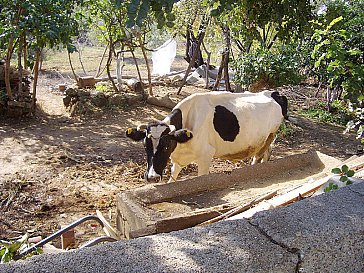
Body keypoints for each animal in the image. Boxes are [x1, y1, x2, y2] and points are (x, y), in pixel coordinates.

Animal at [126, 90, 288, 182]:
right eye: (145, 145)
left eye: (166, 146)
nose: (152, 177)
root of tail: (274, 93)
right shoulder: (178, 159)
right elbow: (172, 179)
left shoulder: (205, 156)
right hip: (264, 139)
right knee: (266, 152)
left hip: (271, 134)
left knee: (258, 157)